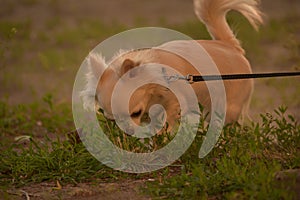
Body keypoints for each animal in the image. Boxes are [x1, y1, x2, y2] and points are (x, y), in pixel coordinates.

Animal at [81, 0, 262, 135]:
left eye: (136, 113)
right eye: (113, 120)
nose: (129, 132)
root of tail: (230, 46)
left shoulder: (175, 103)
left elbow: (167, 122)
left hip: (228, 108)